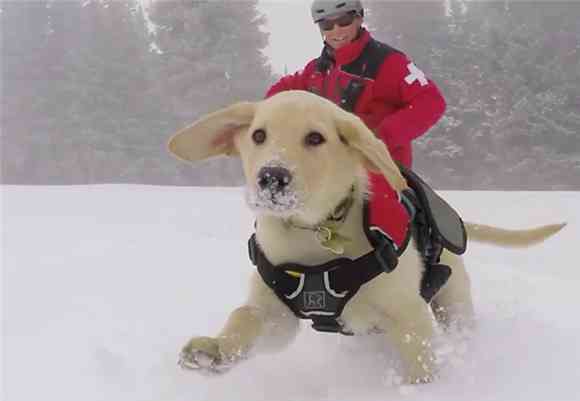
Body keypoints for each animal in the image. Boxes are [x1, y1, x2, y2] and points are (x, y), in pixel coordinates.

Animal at [168, 89, 568, 382]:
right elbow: (244, 317)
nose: (271, 177)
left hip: (453, 300)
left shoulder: (408, 313)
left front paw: (422, 389)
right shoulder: (275, 313)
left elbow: (420, 359)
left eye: (316, 138)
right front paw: (215, 350)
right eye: (258, 135)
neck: (315, 233)